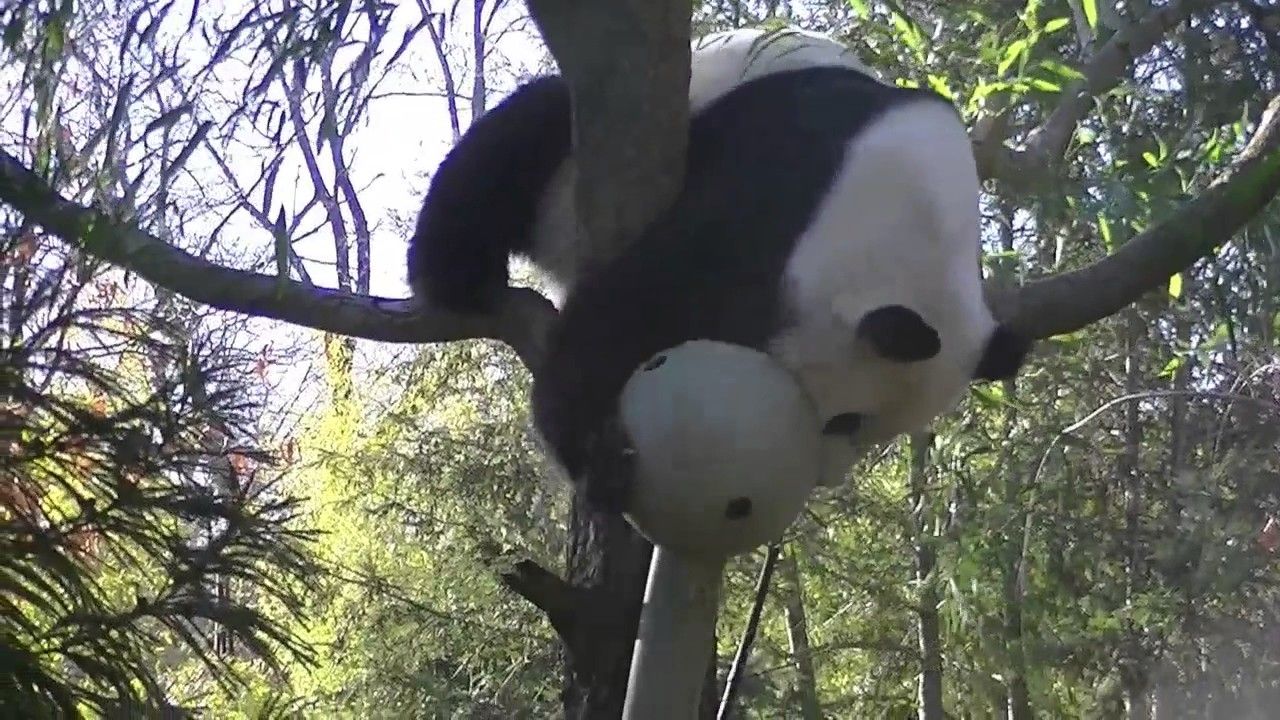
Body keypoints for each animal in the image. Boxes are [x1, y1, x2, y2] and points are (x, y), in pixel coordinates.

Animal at [406, 28, 1032, 511]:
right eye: (845, 421)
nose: (827, 478)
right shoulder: (776, 185)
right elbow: (640, 301)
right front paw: (597, 456)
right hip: (566, 169)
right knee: (518, 138)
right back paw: (456, 276)